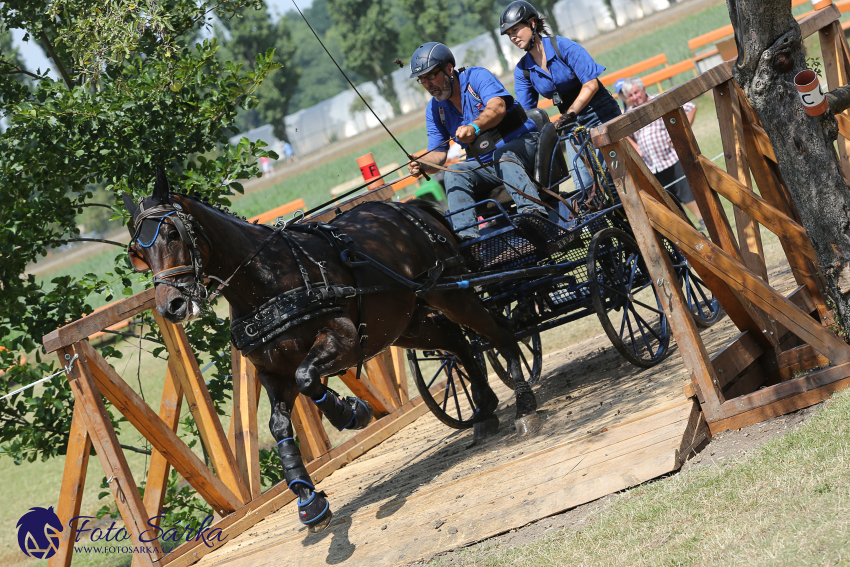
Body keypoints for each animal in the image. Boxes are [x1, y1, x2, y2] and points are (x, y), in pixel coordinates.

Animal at [121, 171, 536, 536]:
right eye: (137, 253)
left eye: (172, 232)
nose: (171, 306)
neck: (266, 281)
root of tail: (407, 209)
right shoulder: (272, 373)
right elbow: (279, 426)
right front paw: (308, 499)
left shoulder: (344, 337)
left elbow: (308, 379)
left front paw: (351, 412)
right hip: (406, 323)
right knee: (458, 343)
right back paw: (483, 409)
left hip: (450, 292)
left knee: (497, 332)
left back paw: (523, 404)